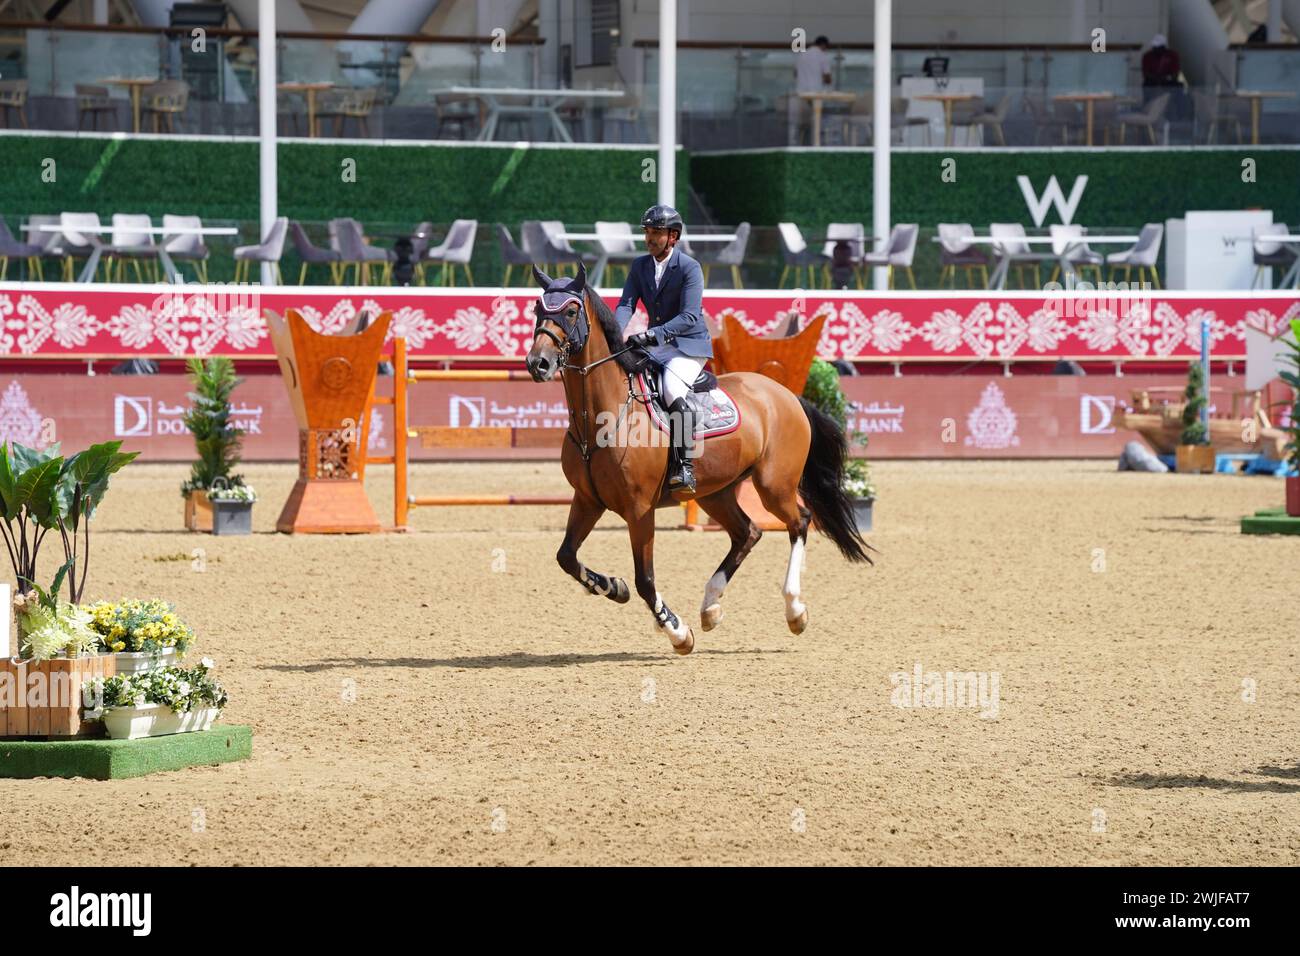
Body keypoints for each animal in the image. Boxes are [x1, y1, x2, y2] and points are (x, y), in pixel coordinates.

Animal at [525, 267, 873, 658]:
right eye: (538, 310)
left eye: (570, 311)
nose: (538, 364)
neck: (600, 418)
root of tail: (784, 394)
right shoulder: (587, 500)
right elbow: (567, 557)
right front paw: (614, 587)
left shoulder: (639, 508)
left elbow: (645, 579)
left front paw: (677, 631)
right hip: (715, 492)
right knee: (748, 533)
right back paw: (710, 607)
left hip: (774, 485)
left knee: (799, 522)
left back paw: (794, 610)